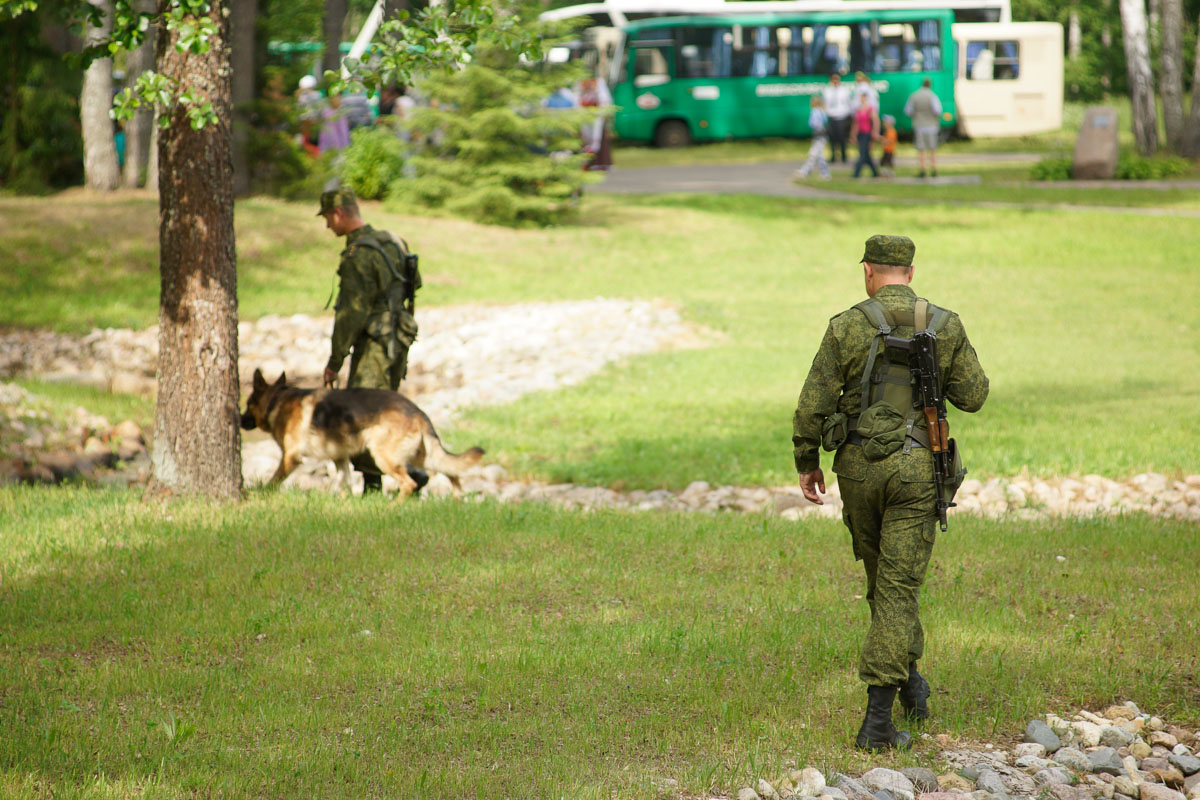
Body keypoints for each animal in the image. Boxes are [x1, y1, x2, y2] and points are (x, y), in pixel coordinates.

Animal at [241, 371, 484, 496]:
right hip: (421, 456)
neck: (276, 400)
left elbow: (273, 480)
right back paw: (457, 499)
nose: (240, 420)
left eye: (247, 404)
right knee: (451, 471)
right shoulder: (340, 457)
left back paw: (393, 506)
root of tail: (417, 411)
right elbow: (344, 484)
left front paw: (262, 493)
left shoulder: (290, 457)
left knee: (409, 483)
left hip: (384, 457)